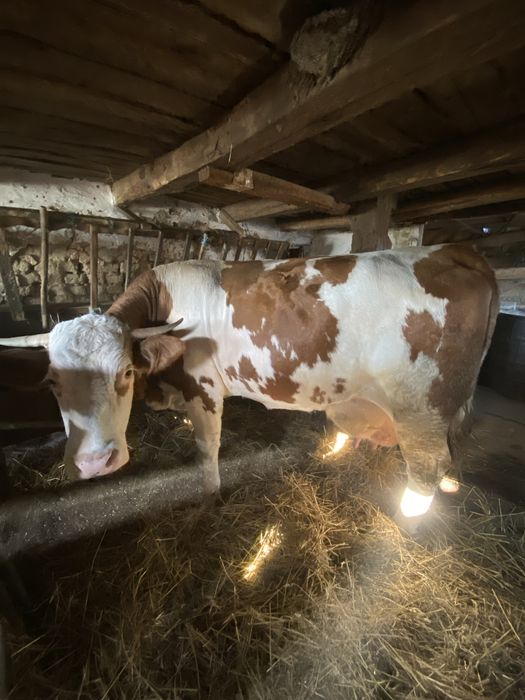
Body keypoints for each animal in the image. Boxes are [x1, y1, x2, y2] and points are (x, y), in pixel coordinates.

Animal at [0, 244, 498, 510]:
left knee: (427, 466)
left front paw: (210, 497)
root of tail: (455, 250)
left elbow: (207, 448)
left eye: (125, 371)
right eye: (52, 383)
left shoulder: (203, 388)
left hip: (422, 407)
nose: (92, 464)